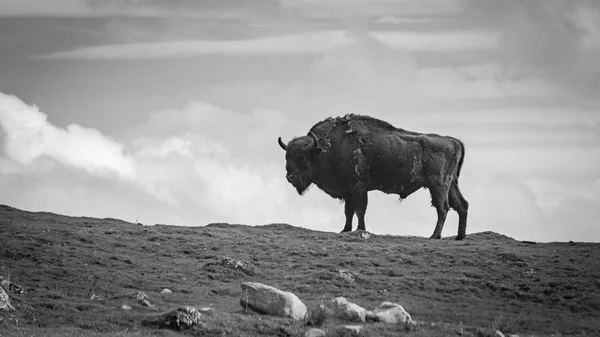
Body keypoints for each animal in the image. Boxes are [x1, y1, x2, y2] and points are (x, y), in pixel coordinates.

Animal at [276, 113, 468, 239]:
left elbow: (360, 209)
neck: (327, 148)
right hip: (451, 185)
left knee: (443, 208)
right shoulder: (348, 190)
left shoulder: (358, 186)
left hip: (438, 185)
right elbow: (348, 211)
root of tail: (454, 141)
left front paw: (360, 229)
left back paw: (434, 236)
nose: (290, 177)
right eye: (287, 156)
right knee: (462, 206)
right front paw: (345, 230)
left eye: (303, 157)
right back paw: (460, 237)